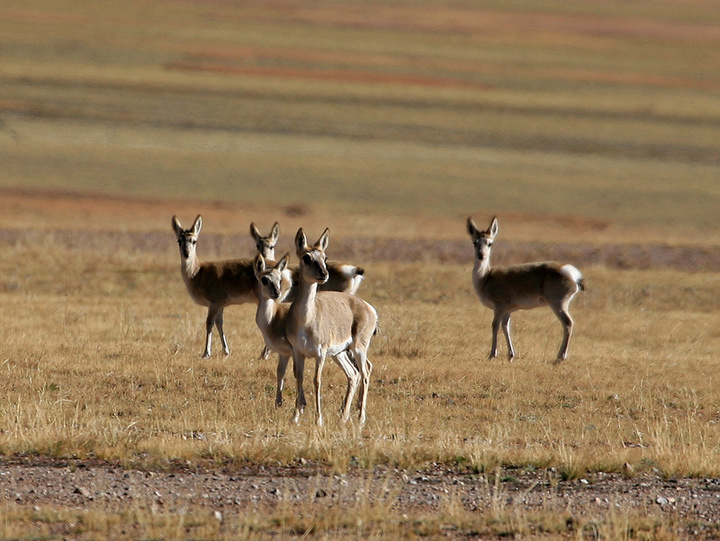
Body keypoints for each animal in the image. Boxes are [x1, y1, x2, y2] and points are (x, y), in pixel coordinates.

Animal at [172, 215, 256, 358]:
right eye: (179, 240)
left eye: (194, 241)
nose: (186, 254)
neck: (198, 272)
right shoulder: (220, 305)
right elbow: (219, 323)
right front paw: (226, 351)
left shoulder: (214, 304)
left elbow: (209, 323)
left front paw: (206, 353)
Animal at [286, 228, 380, 426]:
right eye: (306, 257)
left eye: (325, 256)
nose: (323, 274)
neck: (306, 320)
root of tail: (368, 307)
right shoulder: (298, 352)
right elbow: (299, 378)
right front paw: (295, 417)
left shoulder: (320, 354)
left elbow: (317, 380)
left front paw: (318, 420)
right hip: (339, 353)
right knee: (353, 374)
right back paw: (343, 416)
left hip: (357, 349)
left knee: (365, 372)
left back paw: (360, 417)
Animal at [466, 215, 584, 362]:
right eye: (474, 242)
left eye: (489, 243)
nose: (481, 255)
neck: (486, 277)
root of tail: (569, 270)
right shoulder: (507, 311)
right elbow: (506, 328)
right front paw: (510, 355)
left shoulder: (499, 308)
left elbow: (495, 326)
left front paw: (492, 355)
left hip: (558, 305)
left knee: (568, 323)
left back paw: (559, 358)